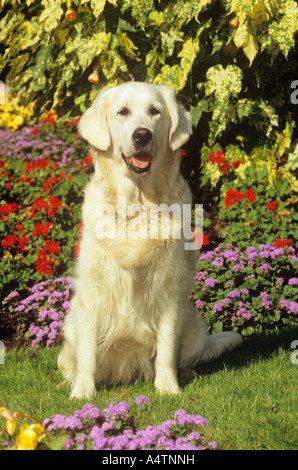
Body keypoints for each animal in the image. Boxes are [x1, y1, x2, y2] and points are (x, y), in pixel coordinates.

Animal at [57, 82, 242, 398]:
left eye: (155, 111)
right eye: (123, 112)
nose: (142, 134)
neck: (137, 205)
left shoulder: (169, 287)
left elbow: (166, 349)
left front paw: (167, 388)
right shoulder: (93, 291)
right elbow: (88, 354)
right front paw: (82, 392)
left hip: (193, 322)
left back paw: (185, 372)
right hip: (71, 322)